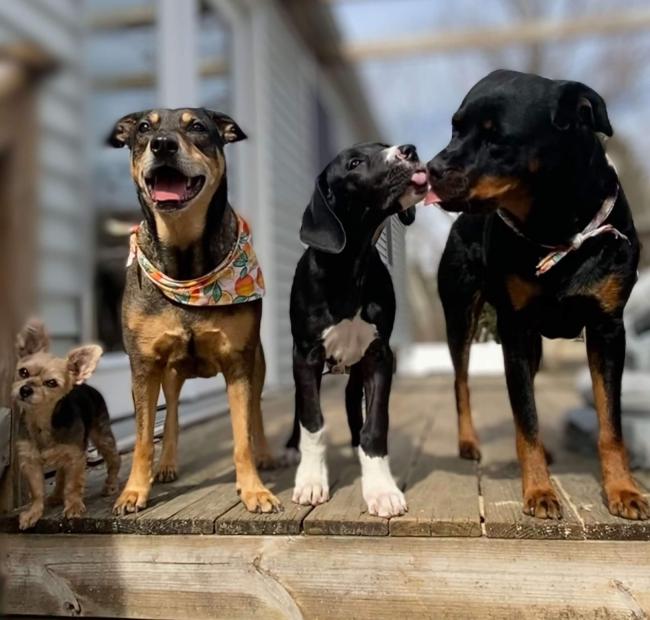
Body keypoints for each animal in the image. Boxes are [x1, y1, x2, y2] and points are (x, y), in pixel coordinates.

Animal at [107, 106, 280, 512]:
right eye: (143, 127)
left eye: (198, 127)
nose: (162, 144)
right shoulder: (143, 365)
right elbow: (143, 437)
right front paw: (133, 492)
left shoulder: (238, 361)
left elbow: (242, 435)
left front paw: (254, 489)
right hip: (169, 372)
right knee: (171, 412)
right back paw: (167, 464)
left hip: (258, 362)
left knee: (256, 411)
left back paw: (266, 454)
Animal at [286, 143, 428, 516]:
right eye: (353, 163)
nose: (409, 150)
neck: (350, 264)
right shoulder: (305, 355)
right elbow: (313, 422)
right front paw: (310, 480)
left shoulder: (379, 356)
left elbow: (375, 424)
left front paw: (381, 488)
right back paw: (291, 446)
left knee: (352, 400)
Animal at [428, 70, 644, 520]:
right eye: (455, 128)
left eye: (496, 137)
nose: (431, 168)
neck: (557, 226)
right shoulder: (515, 328)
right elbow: (524, 418)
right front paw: (540, 492)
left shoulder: (607, 328)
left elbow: (610, 423)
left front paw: (624, 490)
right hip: (460, 314)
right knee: (461, 381)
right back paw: (469, 443)